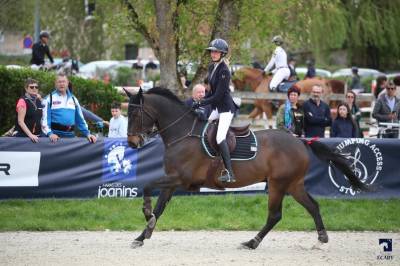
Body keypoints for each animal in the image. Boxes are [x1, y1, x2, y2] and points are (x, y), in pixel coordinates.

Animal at [126, 87, 368, 249]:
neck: (183, 134)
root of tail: (300, 141)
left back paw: (252, 242)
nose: (132, 143)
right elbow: (159, 208)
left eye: (136, 114)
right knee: (313, 206)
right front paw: (143, 234)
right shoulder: (171, 180)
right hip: (293, 184)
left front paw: (145, 213)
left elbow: (147, 186)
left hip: (278, 184)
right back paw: (322, 237)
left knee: (275, 215)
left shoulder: (180, 179)